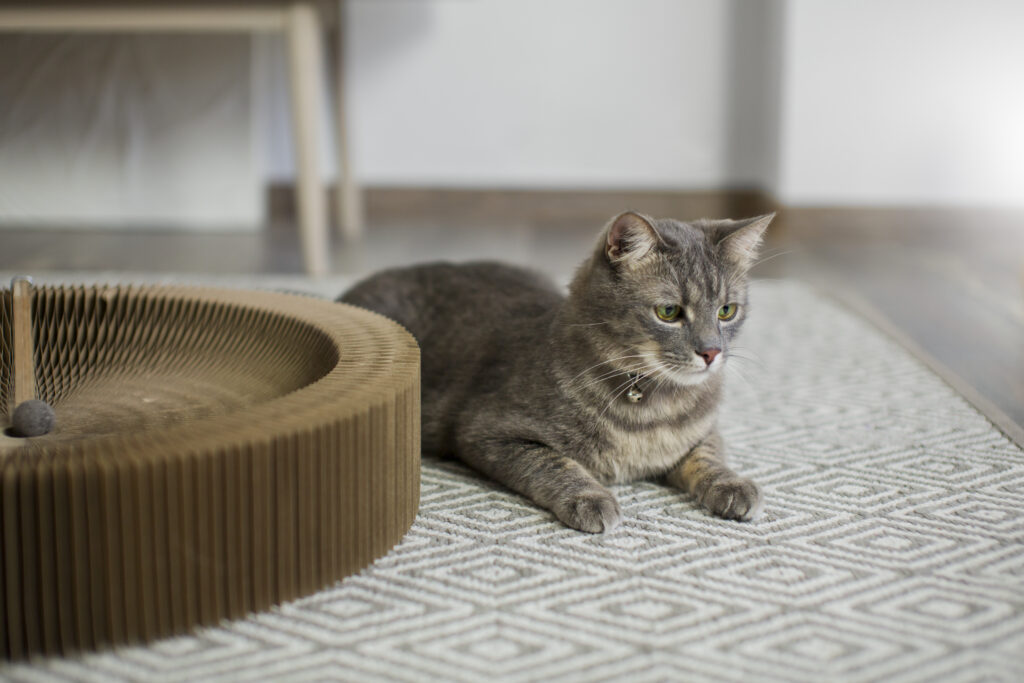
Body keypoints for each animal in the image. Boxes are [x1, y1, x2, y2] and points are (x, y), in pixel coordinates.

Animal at [339, 210, 770, 532]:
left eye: (727, 310)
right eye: (668, 312)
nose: (711, 352)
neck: (653, 407)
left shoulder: (702, 430)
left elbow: (708, 455)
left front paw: (733, 484)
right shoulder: (488, 432)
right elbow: (554, 464)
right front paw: (591, 498)